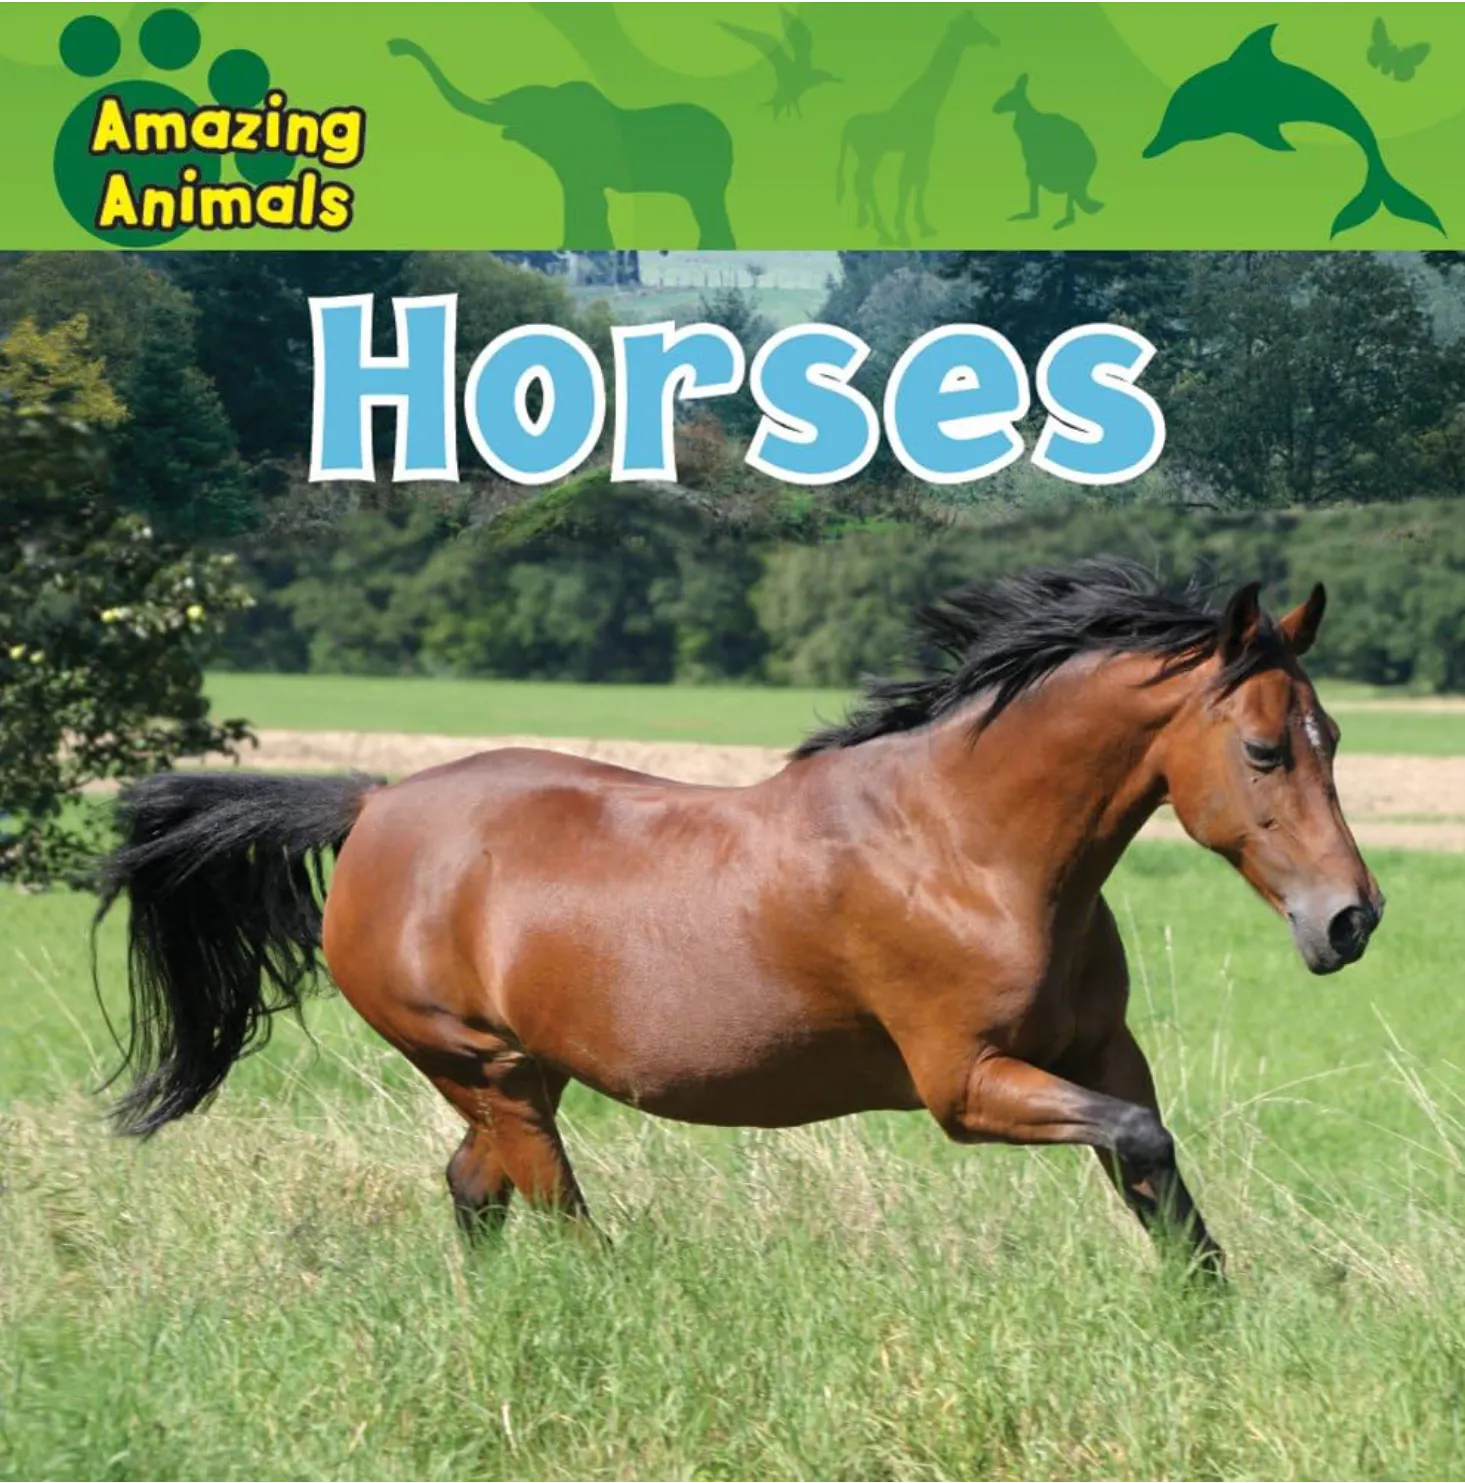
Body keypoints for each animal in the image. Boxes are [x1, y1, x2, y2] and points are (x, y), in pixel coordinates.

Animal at [93, 561, 1383, 1275]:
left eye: (1331, 735)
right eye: (1263, 750)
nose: (1350, 921)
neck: (969, 850)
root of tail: (369, 807)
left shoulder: (1100, 1054)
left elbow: (1153, 1169)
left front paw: (1210, 1321)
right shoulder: (965, 1086)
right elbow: (1140, 1143)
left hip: (516, 1075)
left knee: (474, 1190)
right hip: (483, 1067)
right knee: (554, 1211)